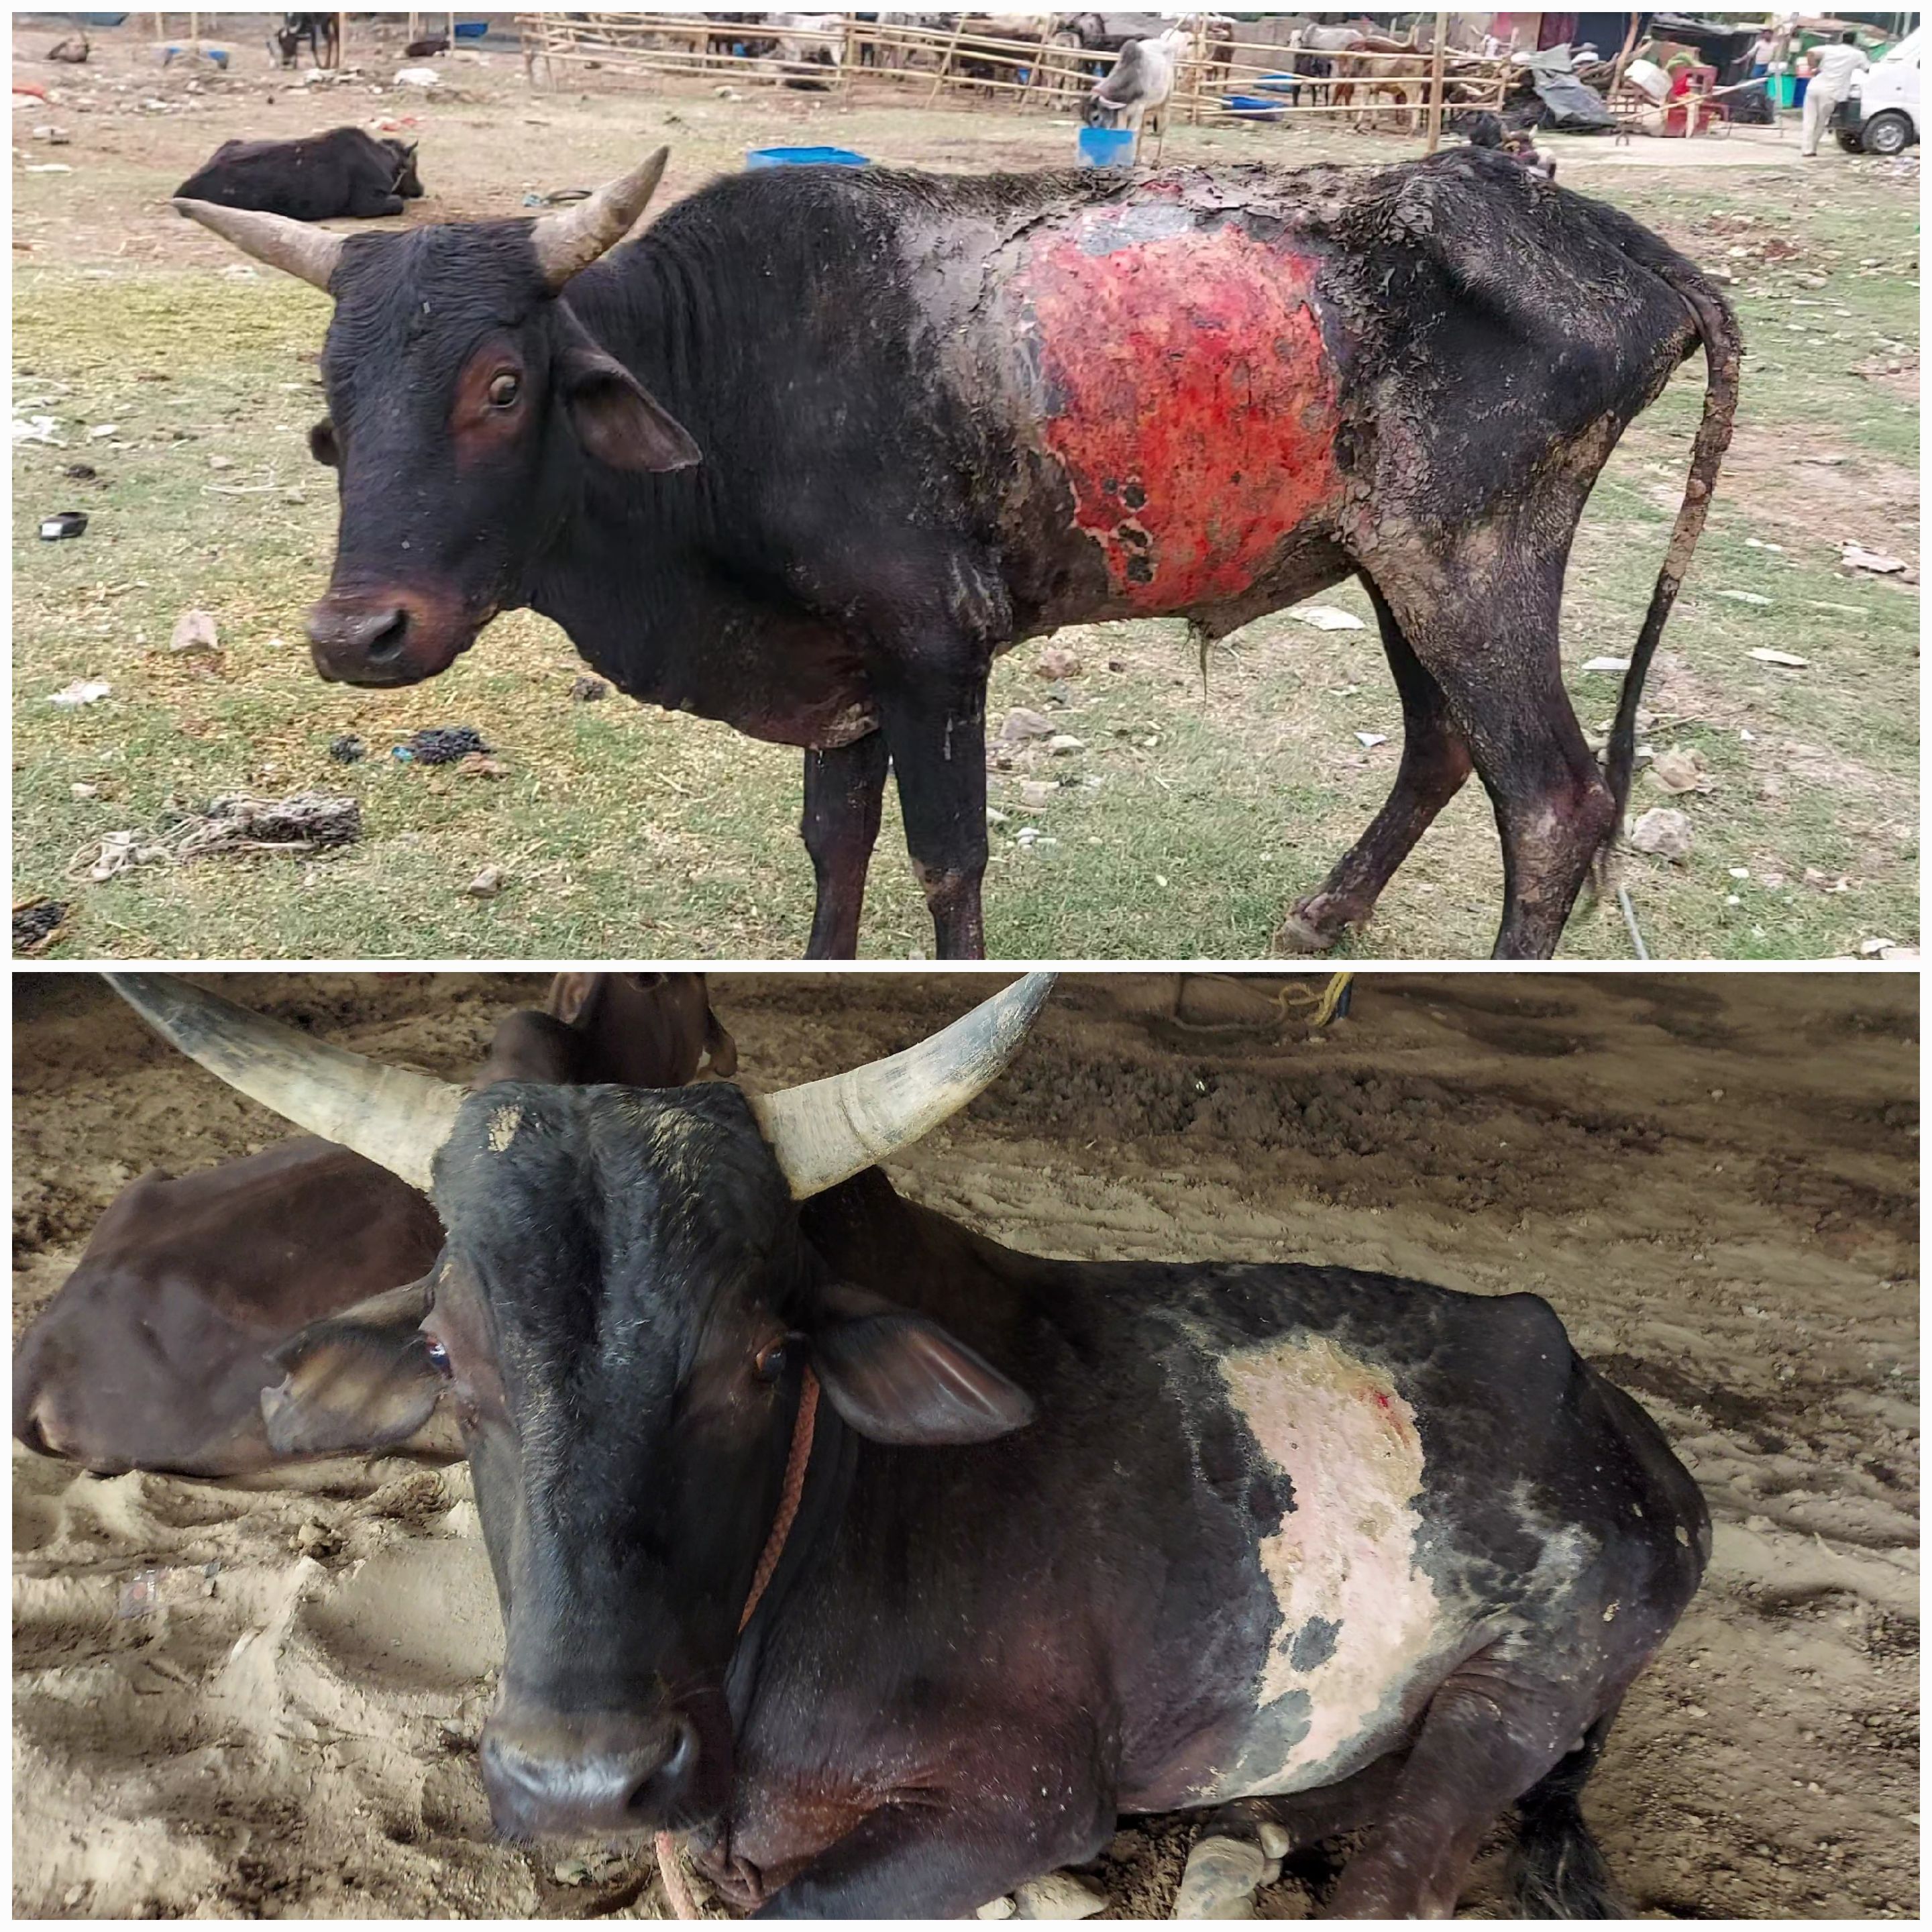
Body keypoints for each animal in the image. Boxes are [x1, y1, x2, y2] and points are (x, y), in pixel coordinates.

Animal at [106, 969, 1710, 1920]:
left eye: (765, 1358)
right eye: (451, 1356)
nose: (579, 1780)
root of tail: (1616, 1416)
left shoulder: (1022, 1798)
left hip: (1514, 1696)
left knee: (1402, 1869)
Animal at [173, 146, 1738, 963]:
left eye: (501, 387)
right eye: (335, 400)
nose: (356, 635)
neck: (725, 378)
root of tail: (1590, 226)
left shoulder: (935, 655)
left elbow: (947, 863)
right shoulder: (840, 677)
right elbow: (835, 847)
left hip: (1470, 564)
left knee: (1554, 804)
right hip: (1396, 567)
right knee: (1446, 749)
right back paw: (1324, 914)